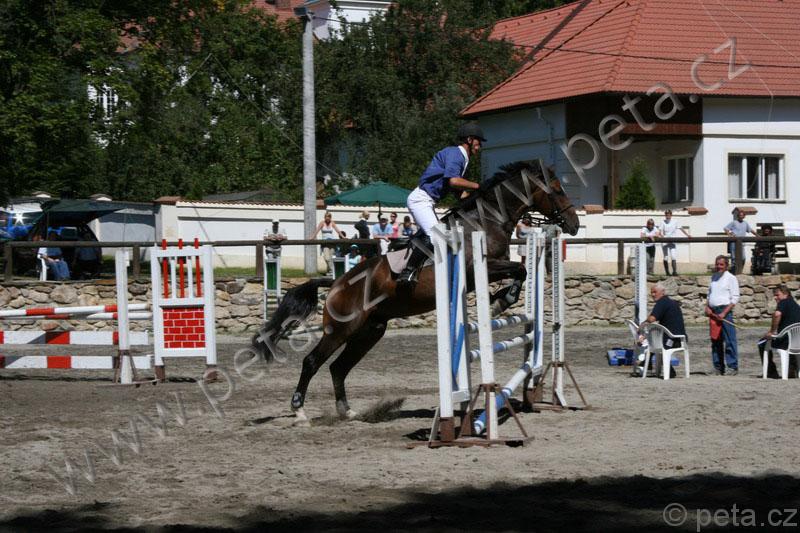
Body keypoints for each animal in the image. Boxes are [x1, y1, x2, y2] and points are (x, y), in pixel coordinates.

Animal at [252, 160, 580, 426]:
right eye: (556, 189)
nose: (574, 225)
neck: (487, 219)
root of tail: (336, 283)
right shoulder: (480, 268)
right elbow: (519, 269)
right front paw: (501, 302)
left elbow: (520, 271)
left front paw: (501, 300)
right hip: (342, 328)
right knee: (312, 362)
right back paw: (299, 412)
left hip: (370, 331)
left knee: (338, 367)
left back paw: (348, 412)